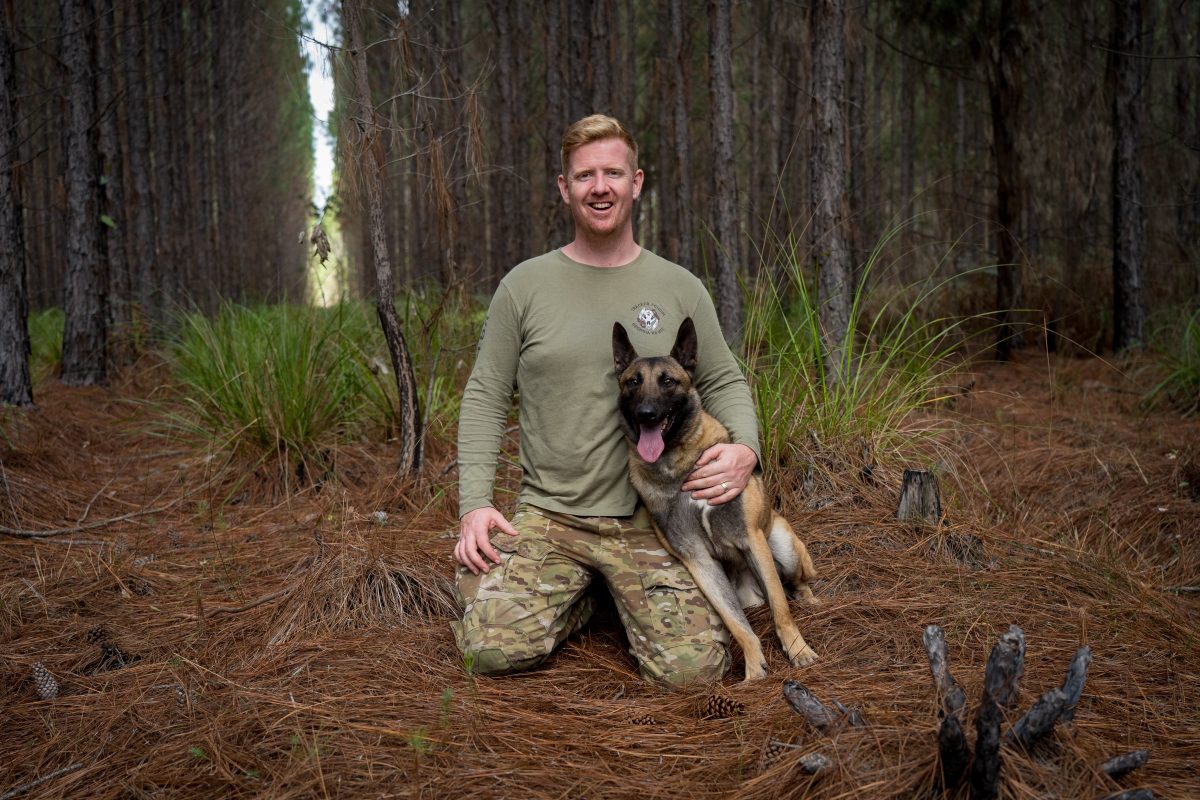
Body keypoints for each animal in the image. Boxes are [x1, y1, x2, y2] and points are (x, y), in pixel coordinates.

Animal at [614, 319, 820, 681]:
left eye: (668, 381)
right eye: (633, 382)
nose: (646, 414)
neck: (677, 468)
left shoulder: (752, 539)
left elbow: (781, 610)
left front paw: (798, 651)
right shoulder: (700, 562)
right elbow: (736, 623)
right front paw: (753, 668)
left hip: (783, 547)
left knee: (795, 585)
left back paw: (808, 600)